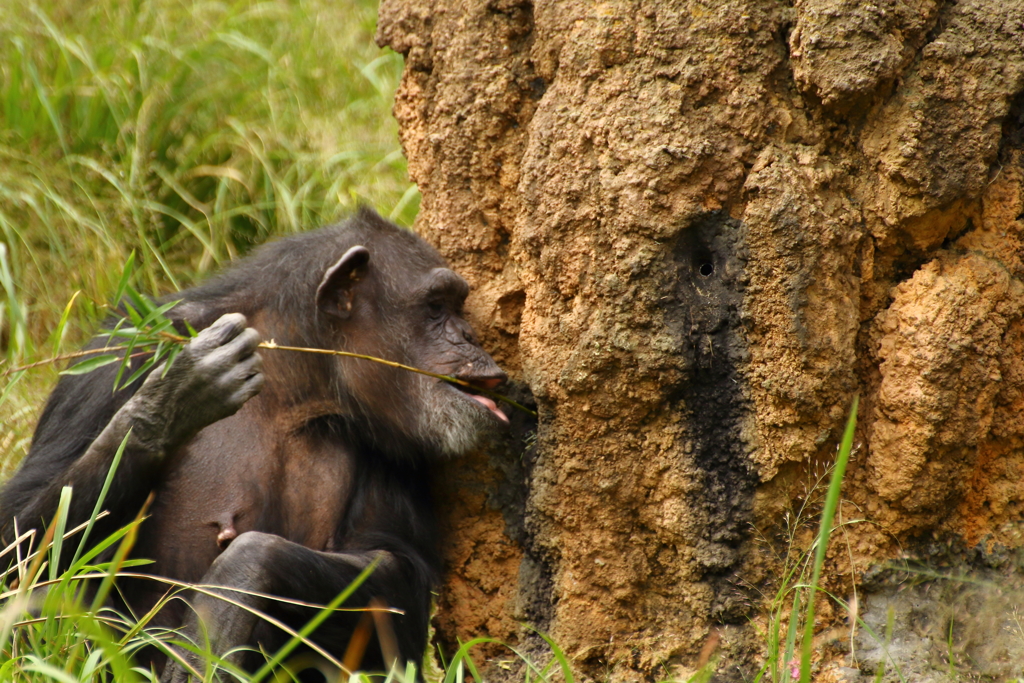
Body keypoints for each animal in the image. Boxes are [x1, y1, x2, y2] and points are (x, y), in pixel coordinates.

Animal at [0, 206, 509, 679]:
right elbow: (18, 547)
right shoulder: (112, 361)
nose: (470, 335)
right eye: (436, 307)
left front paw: (236, 586)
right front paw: (170, 399)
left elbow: (398, 574)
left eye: (457, 306)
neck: (292, 383)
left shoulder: (401, 441)